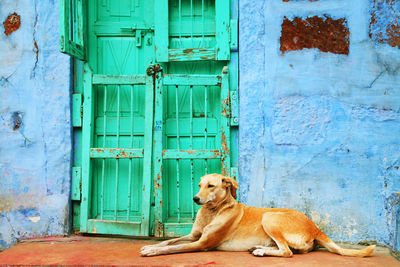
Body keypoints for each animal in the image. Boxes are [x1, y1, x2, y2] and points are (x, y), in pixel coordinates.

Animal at [141, 175, 376, 258]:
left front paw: (151, 251)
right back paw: (260, 247)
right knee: (291, 249)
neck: (213, 210)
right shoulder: (193, 236)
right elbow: (170, 241)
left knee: (287, 252)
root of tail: (315, 226)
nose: (195, 198)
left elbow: (174, 247)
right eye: (199, 185)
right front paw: (151, 245)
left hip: (270, 218)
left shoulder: (201, 243)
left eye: (211, 186)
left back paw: (262, 251)